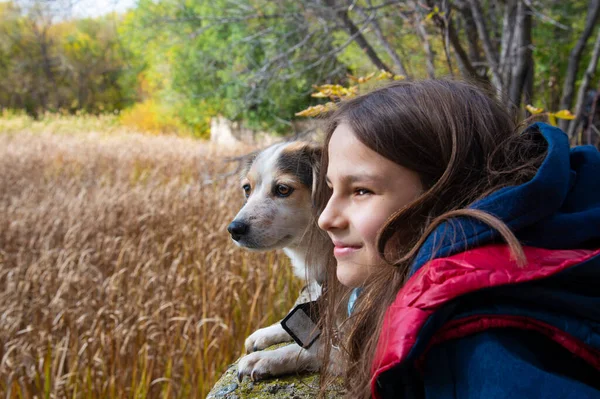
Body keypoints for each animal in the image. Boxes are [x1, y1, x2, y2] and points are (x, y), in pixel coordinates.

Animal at [227, 141, 328, 382]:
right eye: (247, 188)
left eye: (283, 189)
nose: (234, 229)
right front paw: (266, 333)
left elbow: (314, 349)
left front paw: (267, 359)